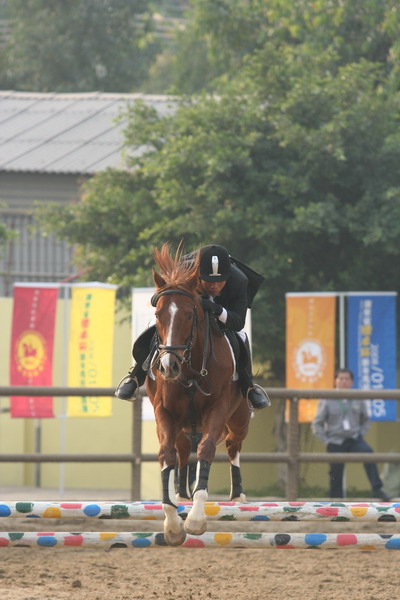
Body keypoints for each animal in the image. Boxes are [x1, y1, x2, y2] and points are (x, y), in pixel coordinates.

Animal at [147, 243, 252, 544]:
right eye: (158, 315)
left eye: (190, 314)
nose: (168, 366)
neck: (190, 368)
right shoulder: (163, 412)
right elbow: (166, 454)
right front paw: (172, 524)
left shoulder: (218, 410)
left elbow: (205, 450)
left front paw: (195, 518)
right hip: (180, 424)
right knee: (182, 448)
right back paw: (181, 493)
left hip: (239, 420)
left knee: (233, 446)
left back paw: (237, 495)